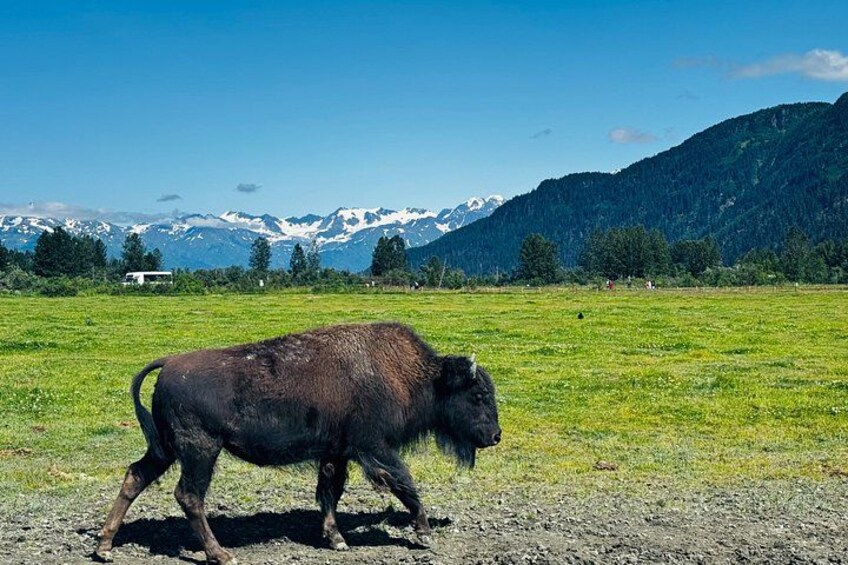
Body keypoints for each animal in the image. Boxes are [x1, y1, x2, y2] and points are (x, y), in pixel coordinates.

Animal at [96, 322, 501, 563]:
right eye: (478, 394)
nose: (495, 435)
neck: (414, 375)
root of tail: (168, 363)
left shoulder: (336, 453)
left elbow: (330, 493)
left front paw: (335, 538)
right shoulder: (374, 449)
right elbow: (405, 483)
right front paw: (424, 533)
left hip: (165, 449)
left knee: (136, 477)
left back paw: (104, 547)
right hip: (201, 451)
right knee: (189, 495)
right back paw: (221, 554)